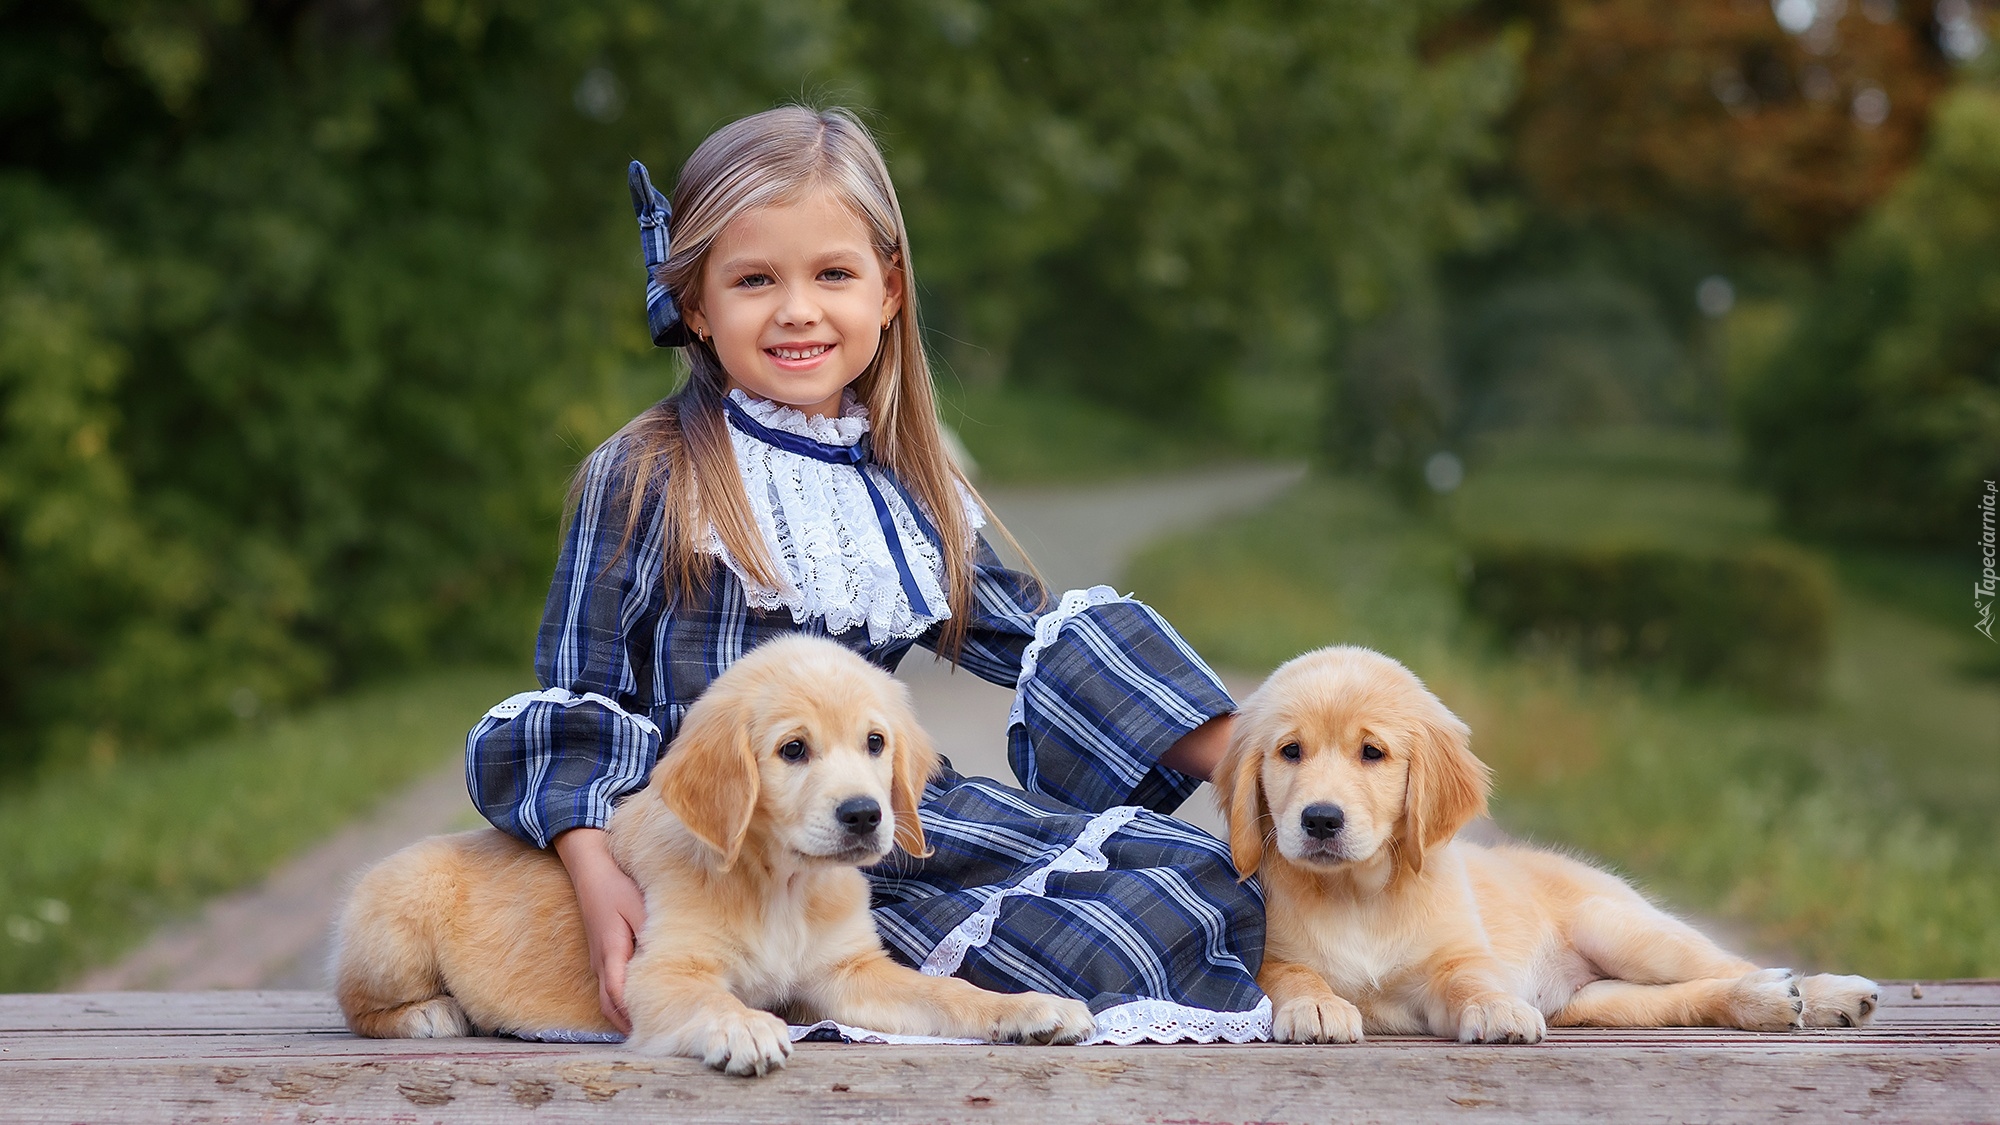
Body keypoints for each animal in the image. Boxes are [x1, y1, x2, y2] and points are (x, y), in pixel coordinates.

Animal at [340, 632, 1096, 1064]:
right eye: (793, 750)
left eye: (876, 743)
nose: (863, 815)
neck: (781, 883)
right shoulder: (660, 971)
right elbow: (713, 999)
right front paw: (746, 1028)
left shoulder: (847, 973)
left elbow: (947, 990)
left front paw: (1029, 1008)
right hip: (395, 925)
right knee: (357, 1002)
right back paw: (428, 1013)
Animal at [1208, 648, 1880, 1040]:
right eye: (1290, 751)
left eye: (1372, 753)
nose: (1320, 820)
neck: (1356, 894)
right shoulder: (1265, 956)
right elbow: (1292, 974)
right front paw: (1316, 1006)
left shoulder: (1457, 959)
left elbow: (1471, 980)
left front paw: (1496, 1010)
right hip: (1603, 1001)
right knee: (1687, 998)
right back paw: (1764, 1003)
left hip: (1618, 926)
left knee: (1727, 963)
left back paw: (1825, 994)